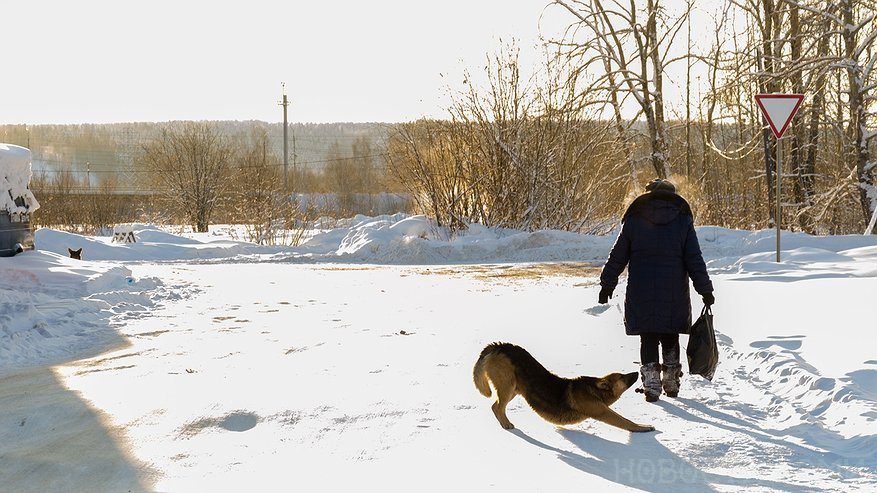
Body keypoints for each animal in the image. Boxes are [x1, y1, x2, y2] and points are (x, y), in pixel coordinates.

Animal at [472, 342, 652, 430]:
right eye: (622, 376)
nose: (637, 372)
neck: (594, 391)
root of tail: (498, 346)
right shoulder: (602, 411)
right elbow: (626, 422)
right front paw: (643, 427)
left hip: (514, 389)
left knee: (495, 406)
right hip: (508, 385)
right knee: (498, 407)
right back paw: (506, 424)